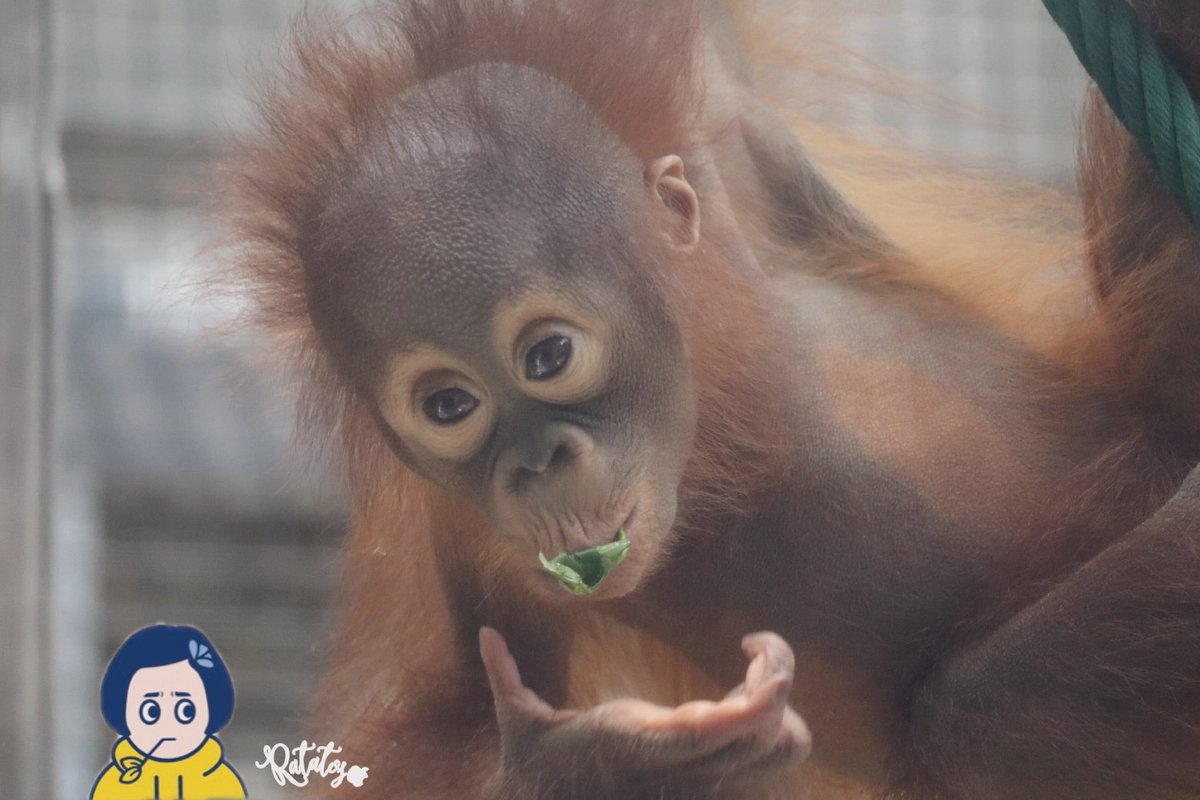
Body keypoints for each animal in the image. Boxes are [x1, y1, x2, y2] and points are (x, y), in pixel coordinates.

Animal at [219, 0, 1200, 798]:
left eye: (548, 355)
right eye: (449, 407)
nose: (536, 465)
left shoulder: (719, 126)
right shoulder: (462, 536)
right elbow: (434, 726)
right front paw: (601, 768)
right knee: (982, 717)